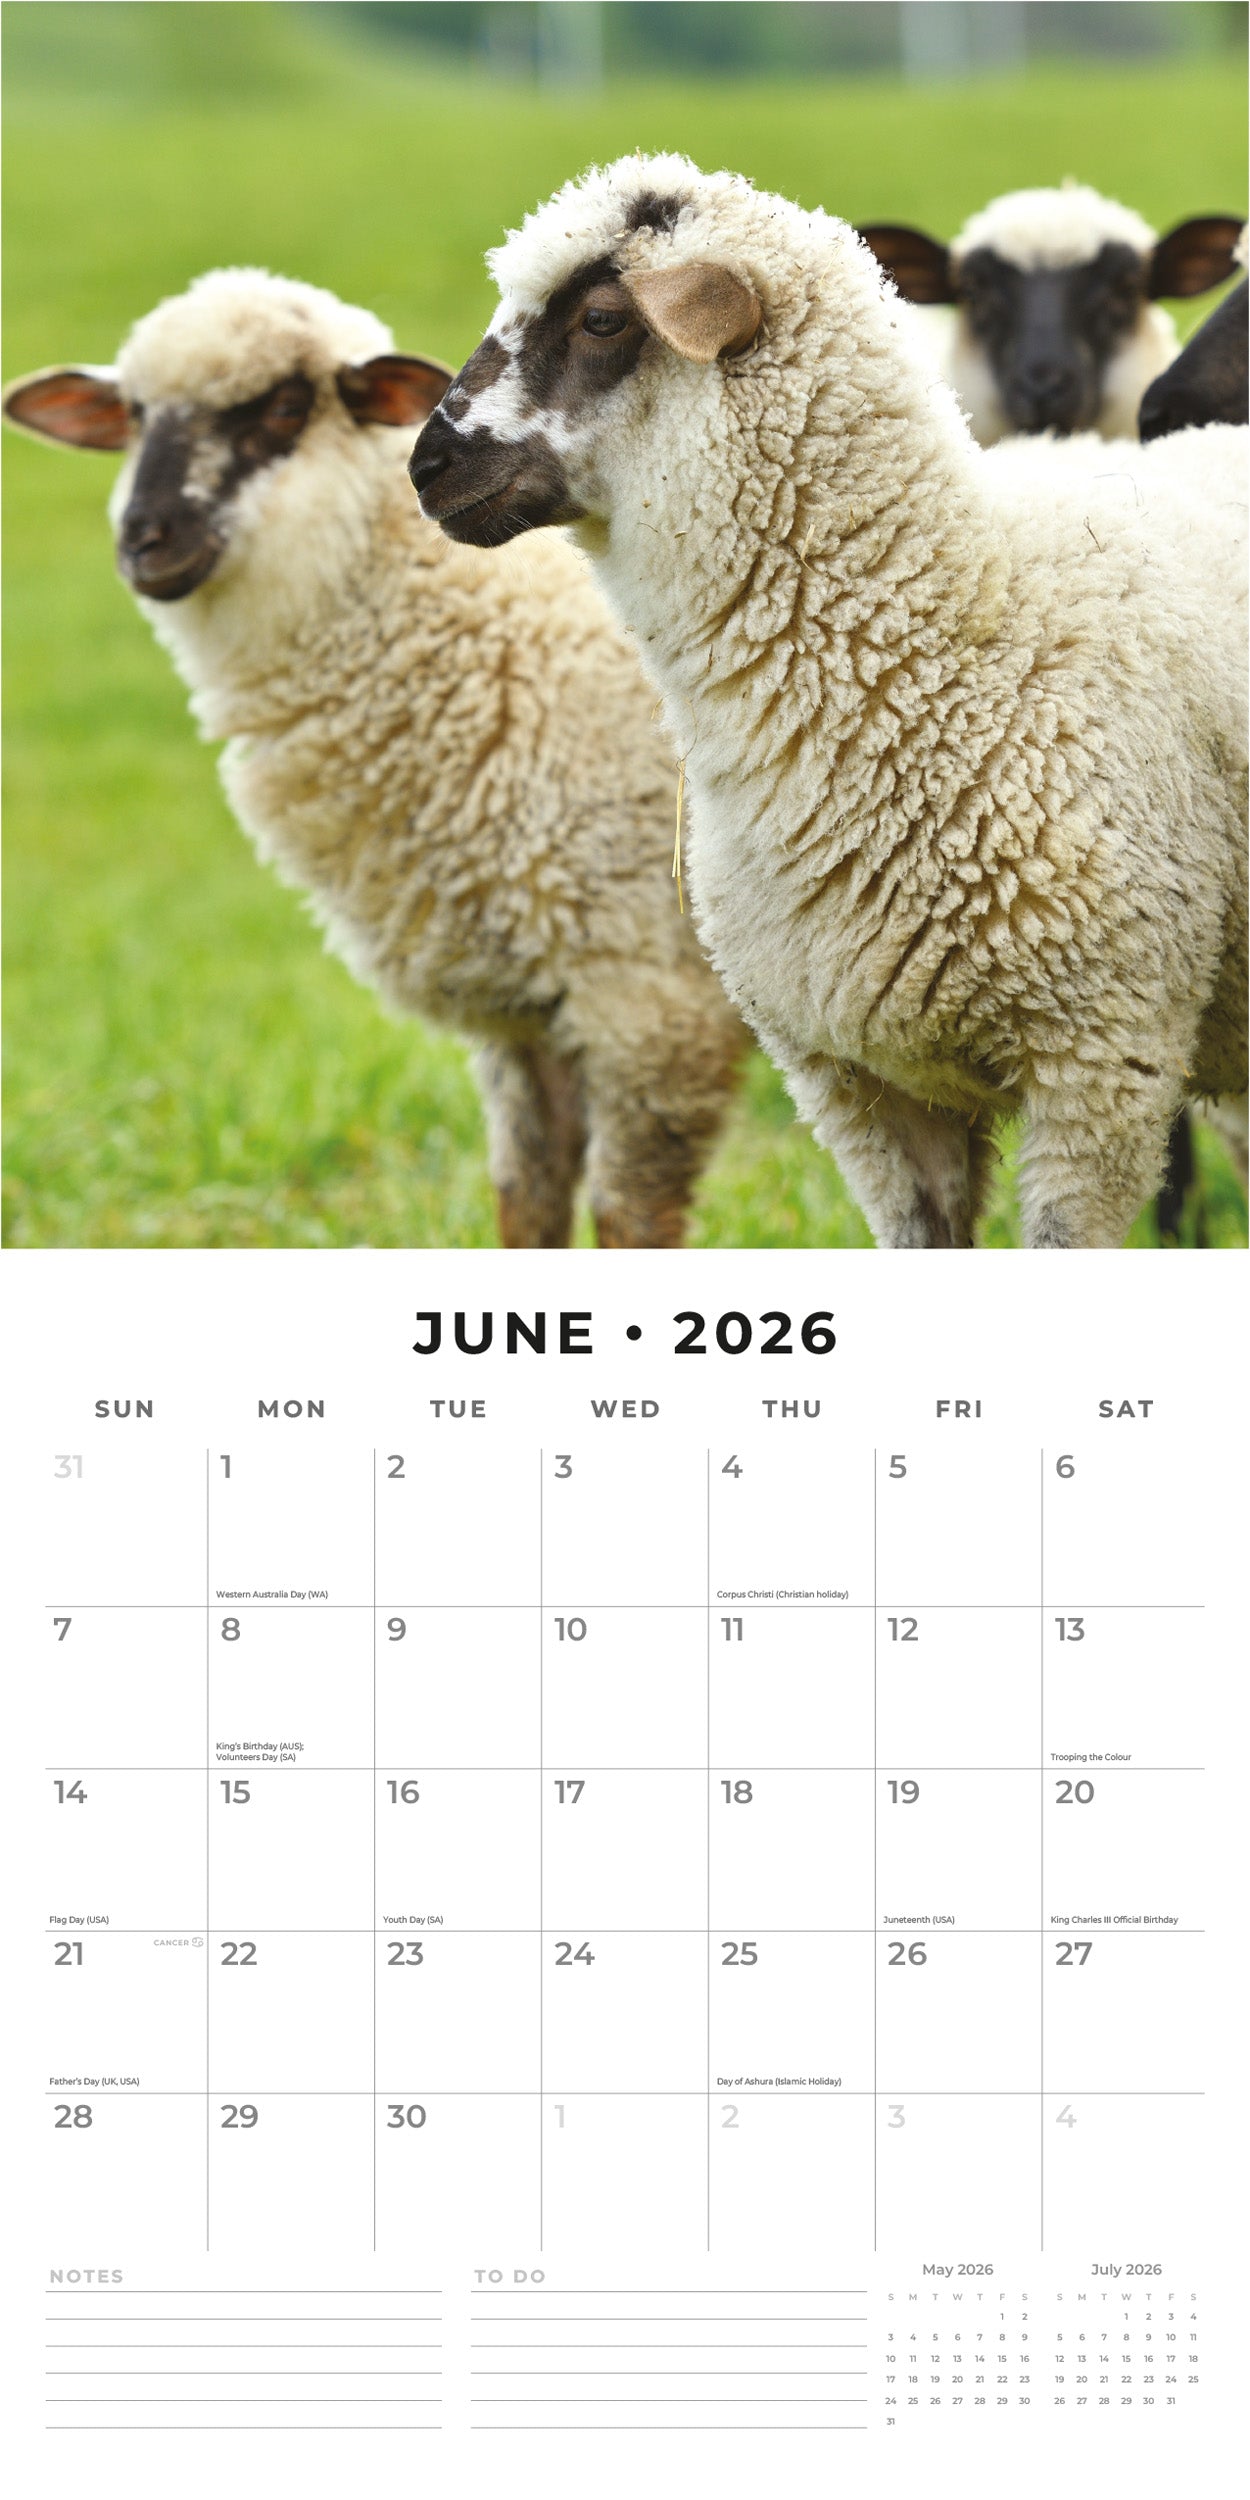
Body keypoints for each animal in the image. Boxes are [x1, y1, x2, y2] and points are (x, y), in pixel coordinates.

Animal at [3, 268, 745, 1249]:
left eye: (284, 406)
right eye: (132, 415)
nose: (144, 541)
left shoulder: (648, 998)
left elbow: (630, 1219)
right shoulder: (528, 1016)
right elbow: (528, 1199)